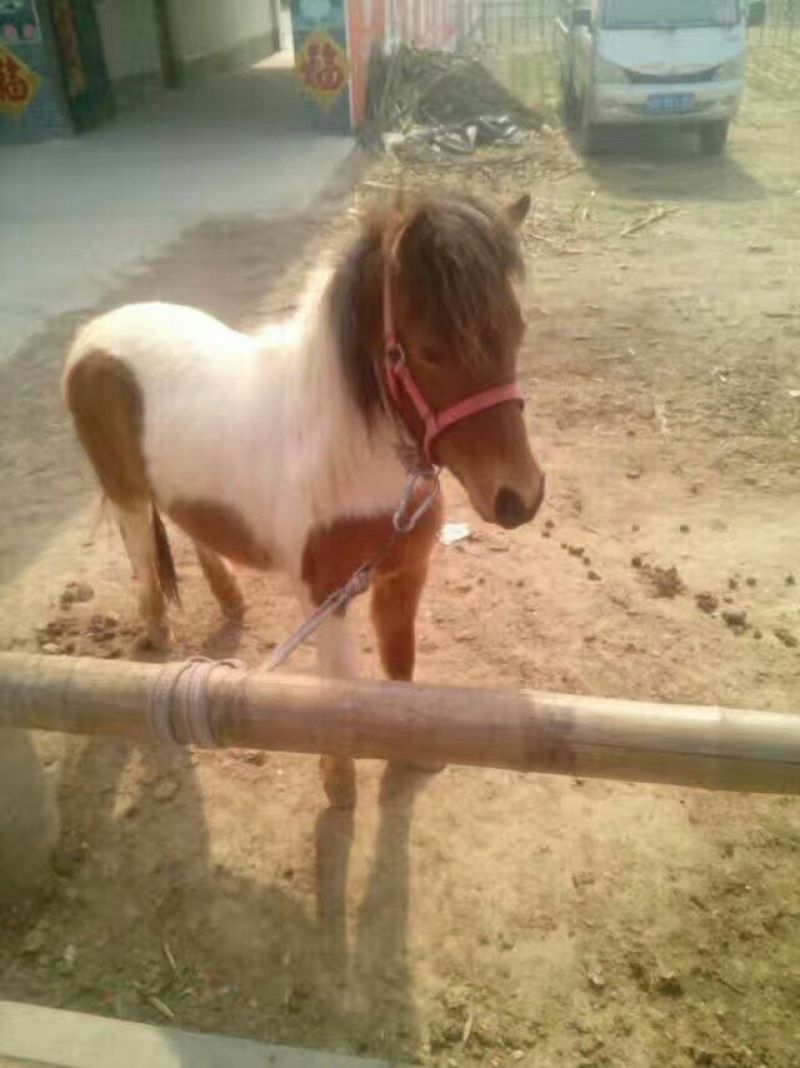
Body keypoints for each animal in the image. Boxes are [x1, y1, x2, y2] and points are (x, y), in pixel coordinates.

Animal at [63, 191, 545, 807]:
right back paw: (156, 635)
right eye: (430, 350)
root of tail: (96, 332)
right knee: (143, 561)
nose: (519, 497)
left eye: (516, 331)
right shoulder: (327, 598)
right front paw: (338, 785)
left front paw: (411, 755)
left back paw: (229, 598)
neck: (349, 458)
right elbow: (340, 692)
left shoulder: (402, 576)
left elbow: (400, 666)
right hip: (124, 492)